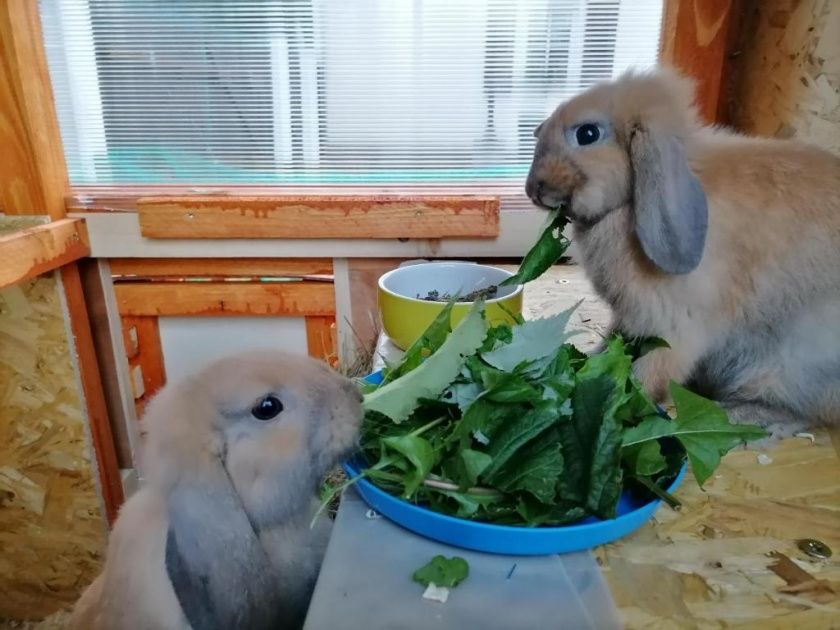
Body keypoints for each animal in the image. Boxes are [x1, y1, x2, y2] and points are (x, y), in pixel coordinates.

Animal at [528, 66, 836, 436]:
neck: (631, 204)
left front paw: (621, 401)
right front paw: (591, 362)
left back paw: (744, 417)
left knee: (800, 410)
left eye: (587, 133)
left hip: (786, 365)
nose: (534, 190)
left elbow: (651, 372)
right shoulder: (628, 320)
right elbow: (614, 342)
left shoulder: (677, 329)